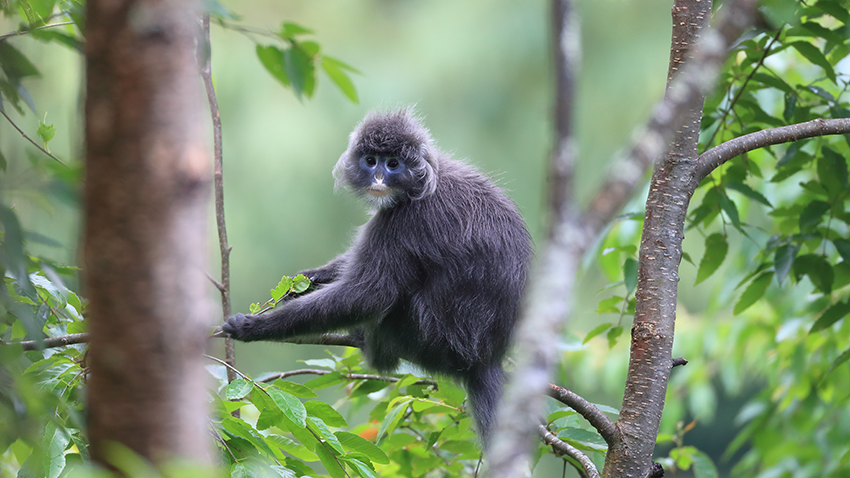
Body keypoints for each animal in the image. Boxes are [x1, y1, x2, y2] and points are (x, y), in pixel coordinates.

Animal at [224, 109, 528, 444]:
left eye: (393, 164)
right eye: (371, 161)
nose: (378, 178)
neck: (422, 184)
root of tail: (486, 357)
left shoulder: (405, 219)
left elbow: (370, 294)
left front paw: (253, 327)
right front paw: (302, 282)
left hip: (426, 336)